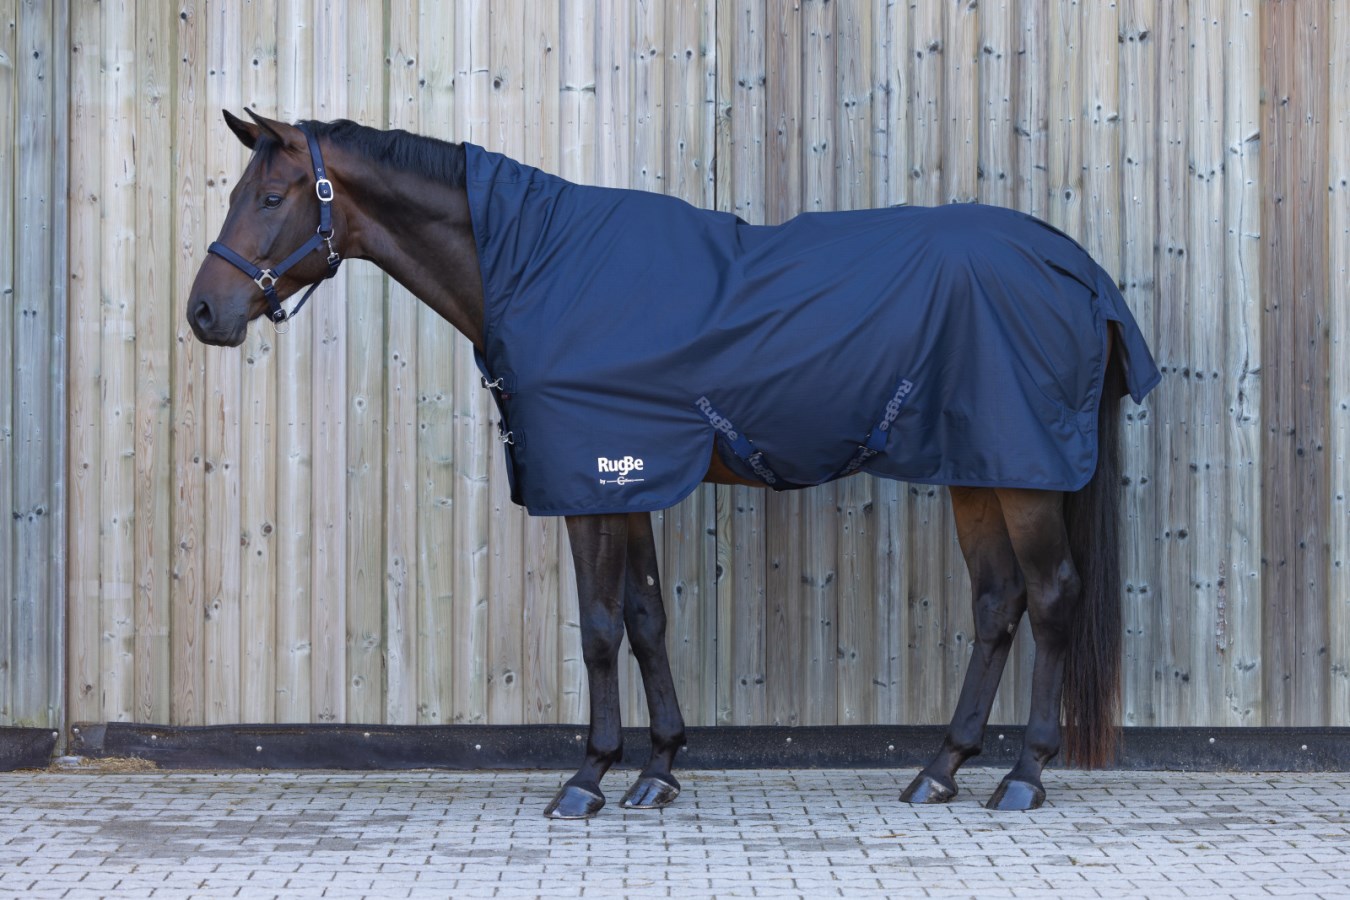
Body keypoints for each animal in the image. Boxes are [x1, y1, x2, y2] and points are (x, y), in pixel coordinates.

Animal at [187, 109, 1160, 819]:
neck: (540, 268)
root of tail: (1078, 269)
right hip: (979, 469)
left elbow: (598, 628)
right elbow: (648, 619)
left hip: (1024, 477)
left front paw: (588, 778)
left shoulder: (590, 481)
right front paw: (658, 769)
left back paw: (1023, 777)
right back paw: (941, 769)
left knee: (1052, 598)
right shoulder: (629, 478)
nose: (204, 312)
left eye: (270, 195)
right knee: (998, 603)